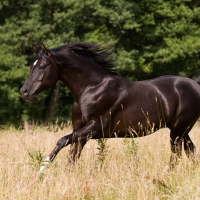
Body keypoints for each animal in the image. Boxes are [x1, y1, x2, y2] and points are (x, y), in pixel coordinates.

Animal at [19, 42, 200, 173]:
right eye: (31, 66)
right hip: (181, 131)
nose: (24, 92)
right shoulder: (80, 131)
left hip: (178, 130)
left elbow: (61, 141)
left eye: (43, 66)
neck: (92, 88)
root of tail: (195, 83)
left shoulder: (95, 128)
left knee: (177, 154)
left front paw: (42, 168)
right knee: (190, 150)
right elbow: (72, 157)